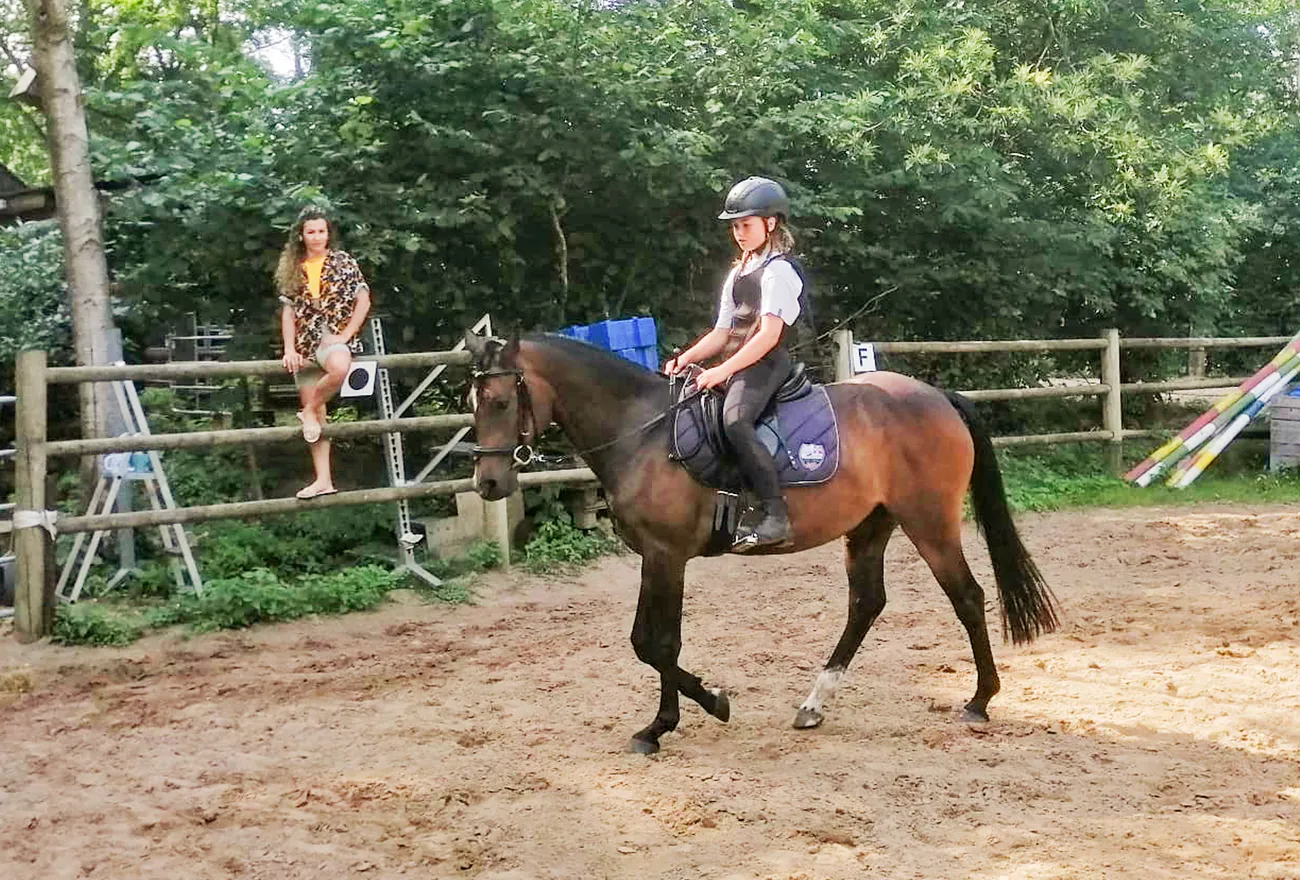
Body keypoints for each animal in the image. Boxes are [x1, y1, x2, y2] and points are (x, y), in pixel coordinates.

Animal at [464, 331, 1058, 754]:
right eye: (474, 401)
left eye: (498, 401)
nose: (486, 484)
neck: (642, 432)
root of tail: (936, 396)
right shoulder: (655, 557)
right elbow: (648, 641)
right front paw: (661, 725)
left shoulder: (666, 556)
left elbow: (658, 644)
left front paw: (698, 709)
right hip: (871, 526)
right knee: (866, 603)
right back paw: (814, 705)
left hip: (929, 523)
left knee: (967, 597)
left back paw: (979, 700)